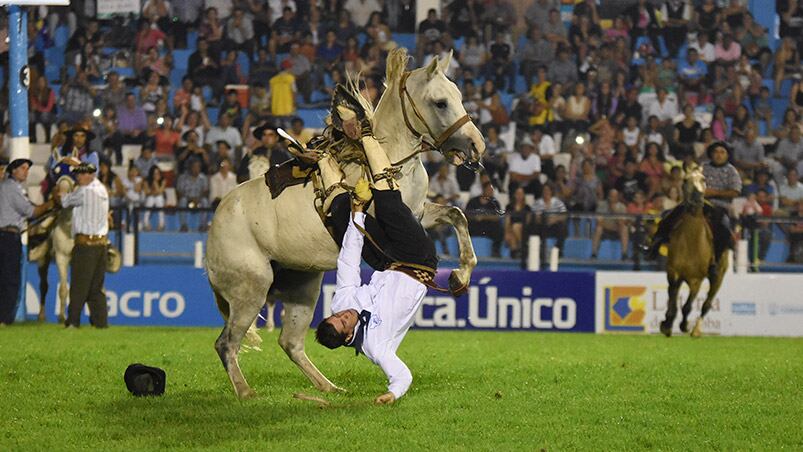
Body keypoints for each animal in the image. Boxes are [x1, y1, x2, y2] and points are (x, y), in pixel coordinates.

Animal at [207, 47, 484, 398]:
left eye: (459, 96)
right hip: (251, 289)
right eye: (440, 102)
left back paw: (329, 387)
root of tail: (216, 223)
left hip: (303, 285)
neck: (387, 159)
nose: (476, 145)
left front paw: (460, 276)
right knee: (227, 343)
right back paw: (246, 393)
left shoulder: (419, 213)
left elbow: (456, 215)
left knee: (290, 342)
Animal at [660, 162, 728, 336]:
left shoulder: (696, 279)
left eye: (703, 179)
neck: (692, 242)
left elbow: (687, 306)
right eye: (685, 180)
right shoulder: (673, 272)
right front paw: (666, 323)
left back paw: (696, 330)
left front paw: (683, 325)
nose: (697, 199)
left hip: (718, 277)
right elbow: (672, 298)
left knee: (707, 304)